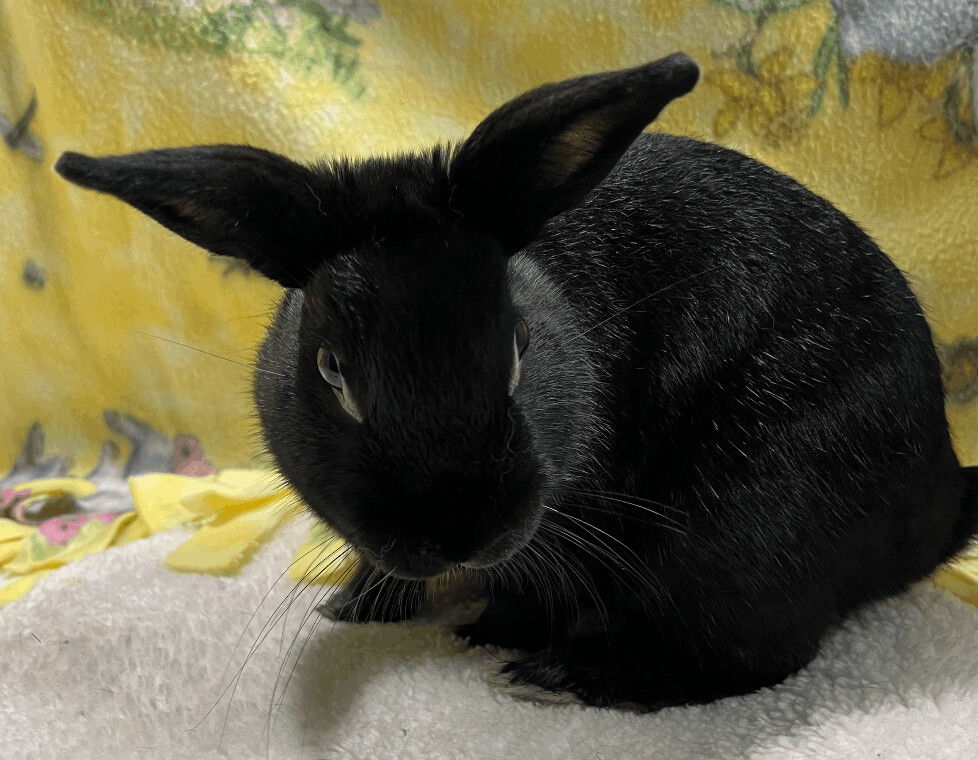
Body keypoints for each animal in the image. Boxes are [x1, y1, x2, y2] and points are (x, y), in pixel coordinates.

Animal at [57, 55, 972, 712]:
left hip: (744, 520)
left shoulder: (569, 518)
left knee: (755, 656)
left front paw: (489, 635)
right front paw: (357, 607)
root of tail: (937, 504)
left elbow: (537, 588)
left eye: (520, 346)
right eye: (331, 371)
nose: (458, 537)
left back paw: (567, 677)